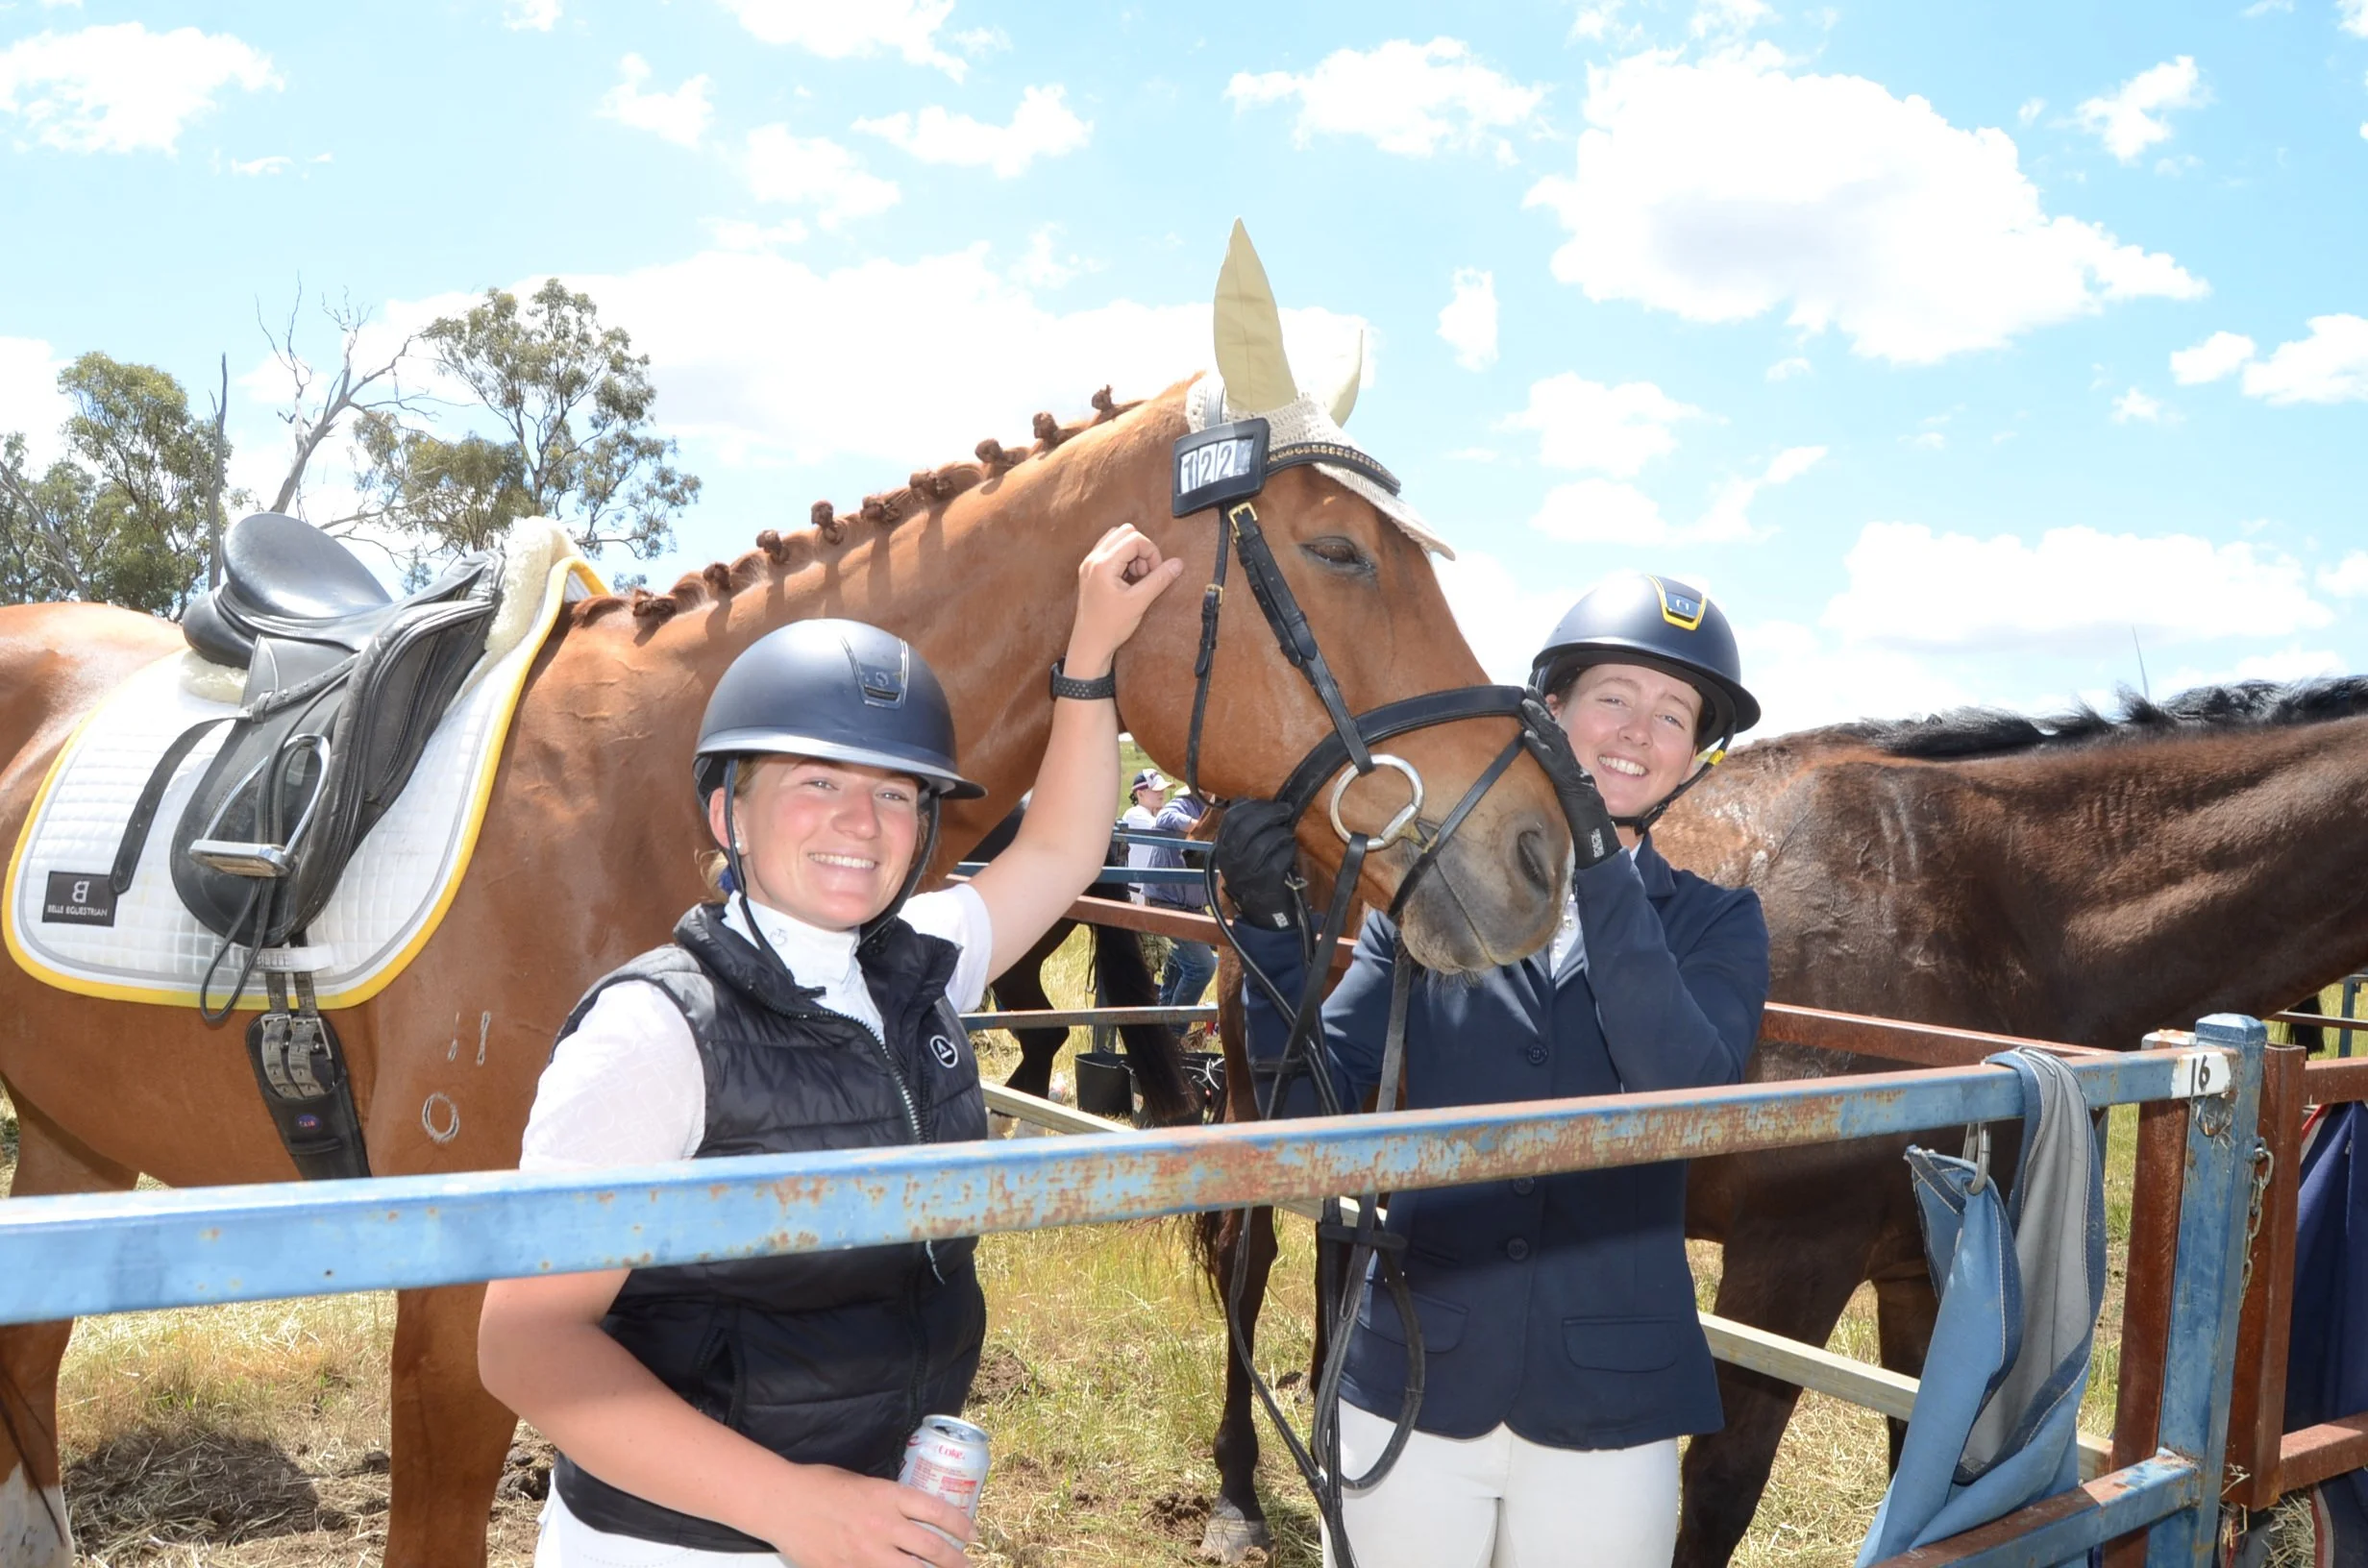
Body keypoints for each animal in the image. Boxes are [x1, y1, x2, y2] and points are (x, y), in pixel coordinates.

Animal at [1192, 675, 2368, 1565]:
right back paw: (1240, 1496)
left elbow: (1921, 1463)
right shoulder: (1793, 1260)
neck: (1984, 908)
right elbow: (1718, 1486)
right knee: (1245, 1268)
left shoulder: (1925, 1264)